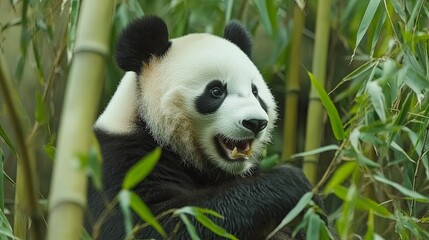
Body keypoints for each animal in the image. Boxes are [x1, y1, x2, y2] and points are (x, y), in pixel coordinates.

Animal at [88, 15, 328, 239]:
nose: (255, 123)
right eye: (216, 91)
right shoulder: (123, 163)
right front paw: (293, 184)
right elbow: (160, 224)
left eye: (255, 92)